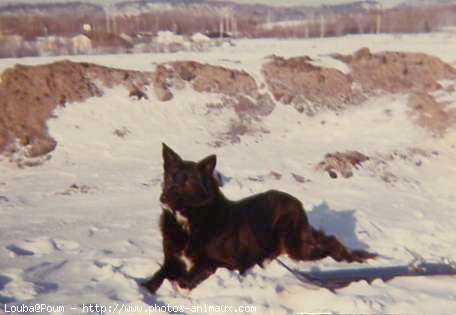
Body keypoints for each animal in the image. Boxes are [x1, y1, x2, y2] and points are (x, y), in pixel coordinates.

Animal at [141, 145, 376, 294]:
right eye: (169, 178)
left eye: (186, 183)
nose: (163, 198)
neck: (191, 220)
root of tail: (294, 200)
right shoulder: (172, 260)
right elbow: (159, 275)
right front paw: (145, 288)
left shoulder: (226, 263)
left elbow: (199, 271)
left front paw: (181, 284)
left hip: (296, 246)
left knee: (331, 242)